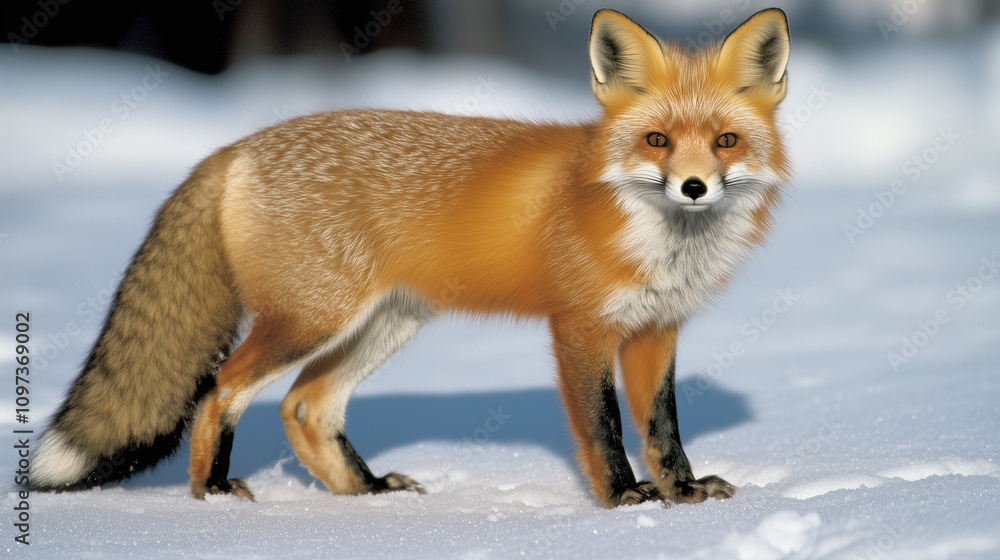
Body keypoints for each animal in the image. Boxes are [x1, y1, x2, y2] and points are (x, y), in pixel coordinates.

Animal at [32, 8, 790, 508]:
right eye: (657, 140)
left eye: (724, 142)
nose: (693, 187)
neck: (661, 244)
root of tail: (236, 147)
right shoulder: (580, 328)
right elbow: (603, 429)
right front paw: (627, 501)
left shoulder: (657, 330)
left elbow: (663, 430)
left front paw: (683, 493)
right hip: (313, 320)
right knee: (223, 389)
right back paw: (212, 493)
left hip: (385, 323)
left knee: (306, 405)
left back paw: (365, 492)